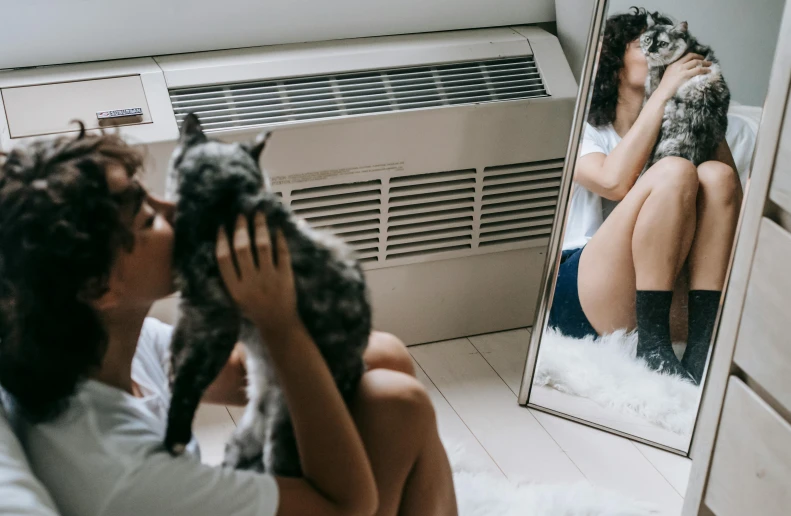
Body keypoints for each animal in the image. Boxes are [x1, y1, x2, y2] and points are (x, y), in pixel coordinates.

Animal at [163, 113, 372, 476]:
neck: (224, 199)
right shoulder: (192, 312)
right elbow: (178, 354)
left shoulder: (212, 321)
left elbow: (192, 379)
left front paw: (174, 433)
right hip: (242, 438)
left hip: (284, 433)